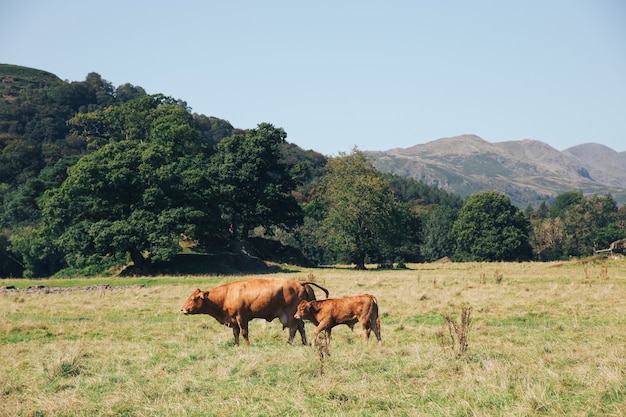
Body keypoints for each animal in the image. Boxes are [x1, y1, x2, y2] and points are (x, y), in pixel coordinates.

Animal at [179, 280, 326, 344]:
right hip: (297, 316)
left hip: (291, 315)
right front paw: (236, 346)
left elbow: (244, 333)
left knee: (293, 329)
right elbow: (236, 333)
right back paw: (305, 343)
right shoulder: (234, 320)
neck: (227, 295)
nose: (183, 309)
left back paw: (289, 343)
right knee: (301, 328)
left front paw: (247, 345)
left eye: (193, 298)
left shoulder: (241, 317)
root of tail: (300, 283)